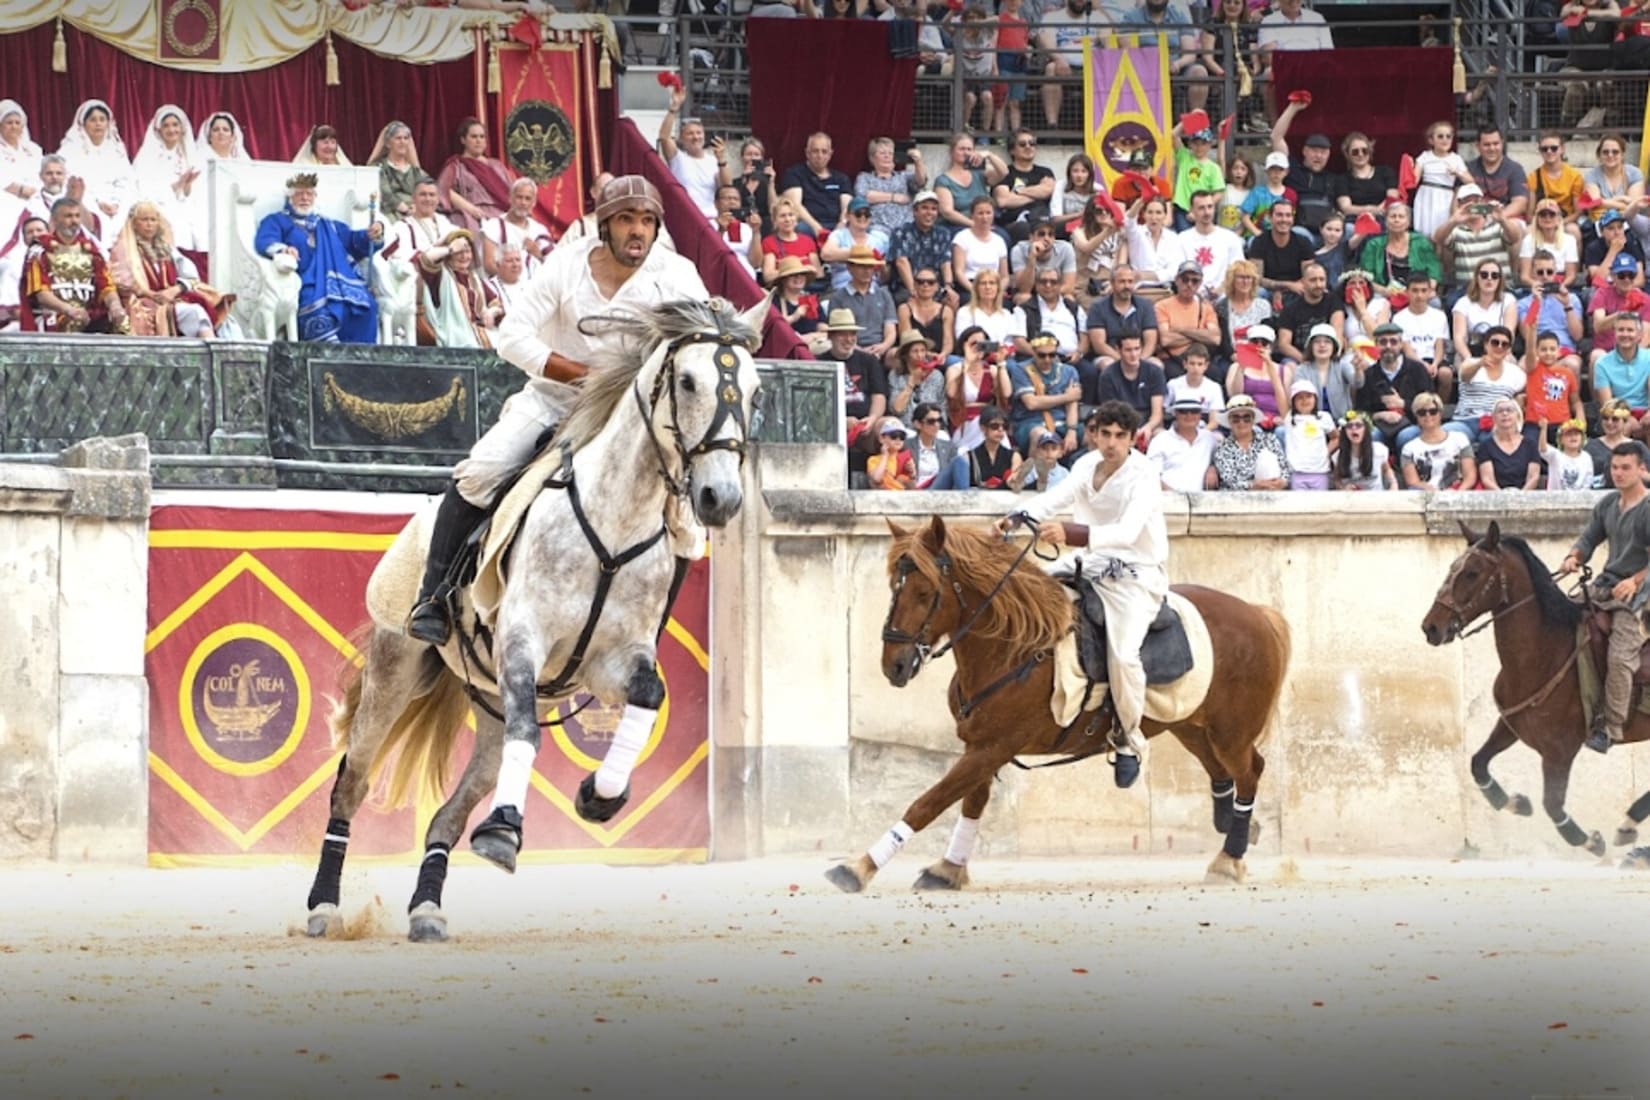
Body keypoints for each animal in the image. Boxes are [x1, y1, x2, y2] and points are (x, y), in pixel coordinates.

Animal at [303, 296, 765, 943]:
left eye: (753, 390)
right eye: (689, 381)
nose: (720, 498)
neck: (614, 520)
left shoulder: (611, 661)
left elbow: (648, 695)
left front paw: (600, 795)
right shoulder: (523, 642)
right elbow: (531, 734)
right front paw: (503, 832)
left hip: (487, 705)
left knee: (447, 814)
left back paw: (427, 909)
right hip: (395, 673)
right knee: (352, 783)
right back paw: (324, 905)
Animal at [825, 517, 1287, 897]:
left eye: (925, 592)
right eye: (894, 588)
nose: (895, 665)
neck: (1014, 645)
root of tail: (1258, 614)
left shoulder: (991, 747)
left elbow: (928, 802)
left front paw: (858, 867)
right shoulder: (981, 747)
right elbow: (971, 803)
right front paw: (949, 868)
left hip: (1230, 731)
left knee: (1250, 771)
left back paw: (1229, 856)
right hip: (1191, 725)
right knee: (1223, 773)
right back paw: (1235, 831)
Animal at [1419, 521, 1650, 864]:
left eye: (1472, 572)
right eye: (1452, 568)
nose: (1431, 627)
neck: (1546, 651)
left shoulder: (1560, 750)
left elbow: (1552, 805)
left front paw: (1591, 842)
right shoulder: (1510, 725)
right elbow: (1478, 764)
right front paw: (1516, 803)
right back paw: (1630, 830)